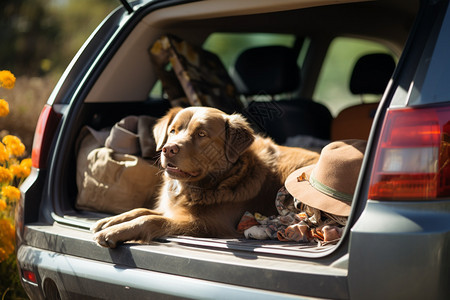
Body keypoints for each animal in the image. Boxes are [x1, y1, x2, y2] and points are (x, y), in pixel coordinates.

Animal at [91, 106, 318, 247]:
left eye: (202, 134)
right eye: (172, 131)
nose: (167, 149)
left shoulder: (207, 224)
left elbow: (150, 219)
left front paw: (113, 232)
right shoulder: (174, 210)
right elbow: (141, 210)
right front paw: (110, 222)